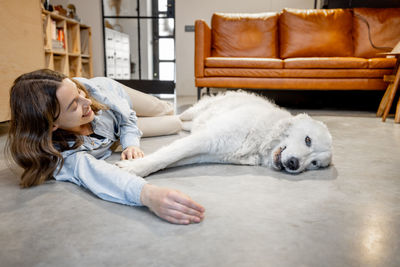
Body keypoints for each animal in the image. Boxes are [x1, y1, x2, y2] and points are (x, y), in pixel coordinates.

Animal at [115, 91, 332, 177]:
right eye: (307, 140)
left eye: (314, 164)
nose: (295, 164)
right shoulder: (207, 137)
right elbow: (167, 155)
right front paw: (133, 168)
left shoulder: (207, 151)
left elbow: (171, 159)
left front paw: (137, 167)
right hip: (190, 114)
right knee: (174, 117)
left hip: (193, 124)